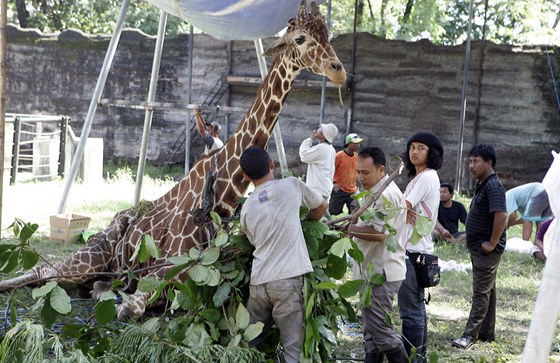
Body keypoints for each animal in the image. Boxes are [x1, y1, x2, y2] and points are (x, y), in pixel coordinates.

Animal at [0, 0, 346, 320]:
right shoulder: (163, 268)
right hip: (88, 257)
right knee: (42, 272)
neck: (219, 196)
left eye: (328, 35)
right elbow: (130, 308)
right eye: (300, 38)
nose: (338, 70)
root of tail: (116, 218)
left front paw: (109, 294)